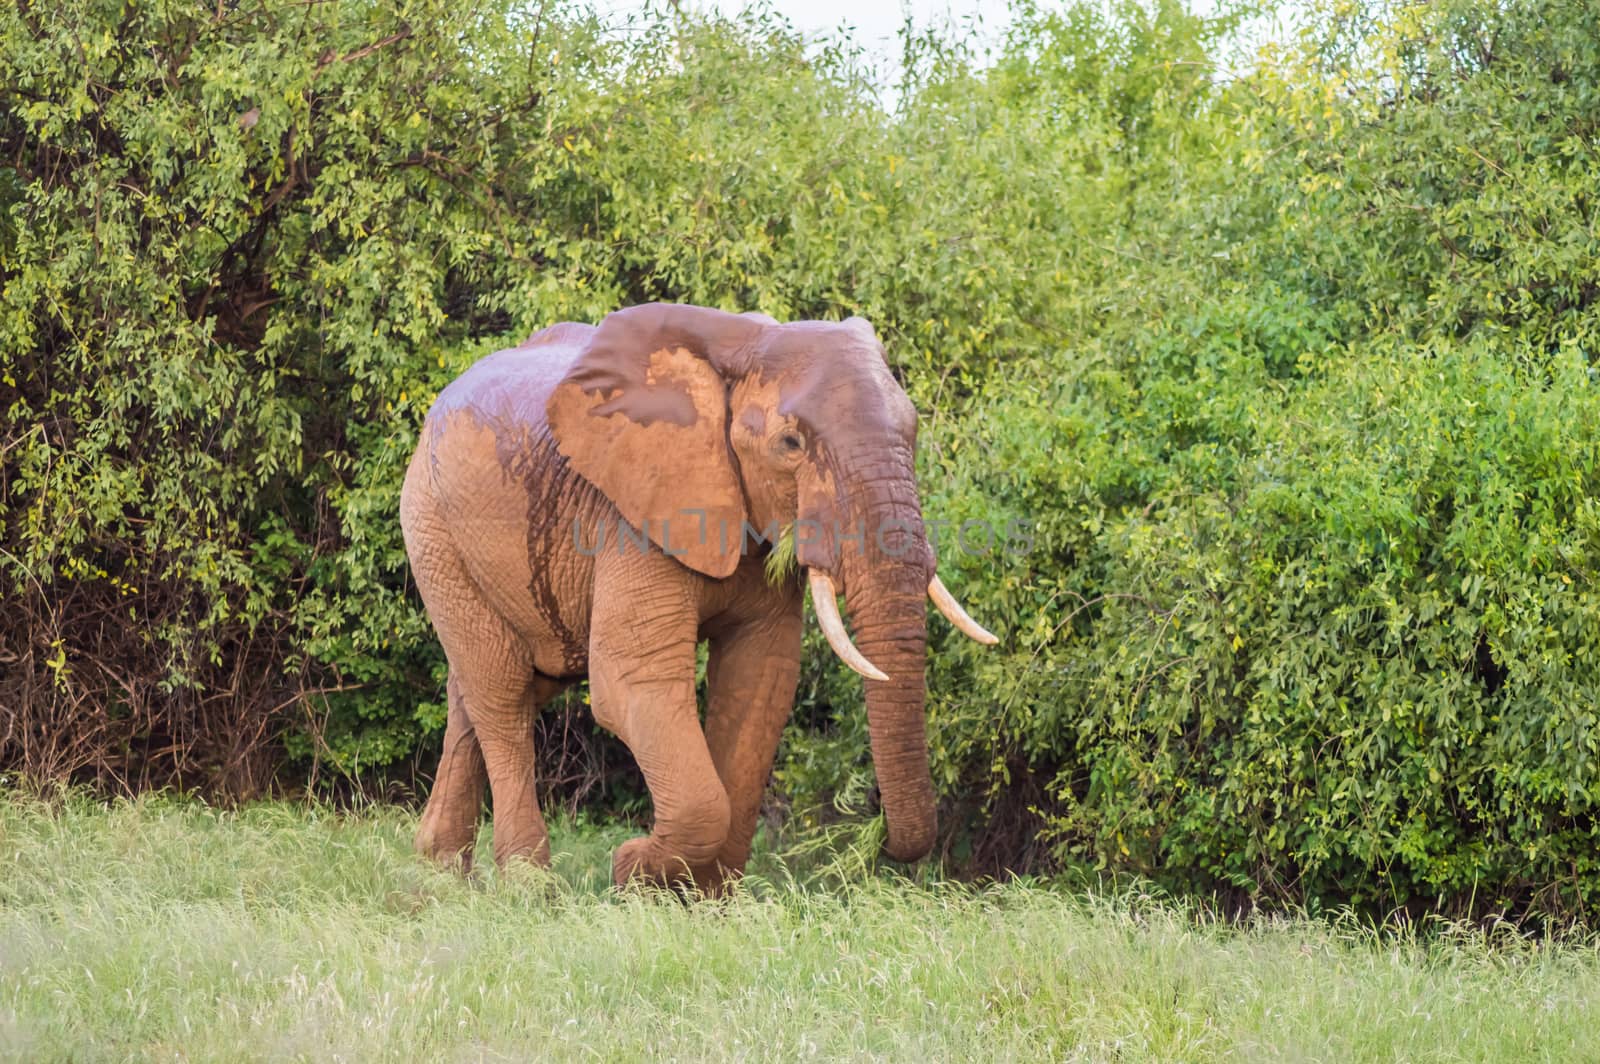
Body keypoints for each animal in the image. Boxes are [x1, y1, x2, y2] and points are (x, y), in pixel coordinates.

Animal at [400, 302, 992, 889]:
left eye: (912, 432)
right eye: (790, 444)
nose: (882, 841)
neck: (747, 345)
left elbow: (761, 679)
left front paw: (701, 896)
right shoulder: (631, 513)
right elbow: (631, 682)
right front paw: (634, 871)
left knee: (488, 688)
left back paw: (439, 873)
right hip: (434, 528)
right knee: (501, 690)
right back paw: (528, 886)